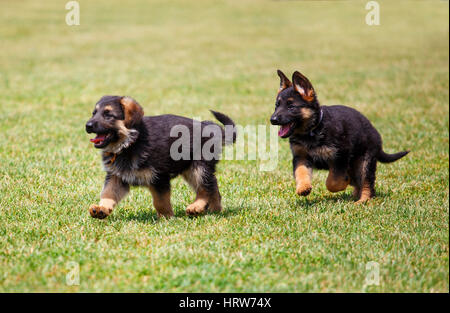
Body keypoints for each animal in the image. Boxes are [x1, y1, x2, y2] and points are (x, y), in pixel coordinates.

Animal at [85, 95, 237, 219]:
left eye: (108, 115)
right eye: (94, 113)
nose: (88, 125)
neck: (130, 143)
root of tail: (211, 128)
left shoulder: (159, 177)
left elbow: (160, 201)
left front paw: (166, 218)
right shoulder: (116, 176)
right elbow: (108, 193)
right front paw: (102, 208)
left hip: (199, 166)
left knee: (205, 188)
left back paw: (197, 206)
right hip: (190, 168)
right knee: (213, 187)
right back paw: (215, 210)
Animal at [268, 70, 410, 202]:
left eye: (291, 107)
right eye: (276, 105)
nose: (272, 119)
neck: (312, 130)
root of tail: (376, 135)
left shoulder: (340, 156)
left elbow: (333, 182)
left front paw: (341, 184)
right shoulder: (301, 157)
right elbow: (301, 172)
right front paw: (303, 187)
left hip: (364, 162)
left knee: (366, 183)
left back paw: (362, 200)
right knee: (359, 182)